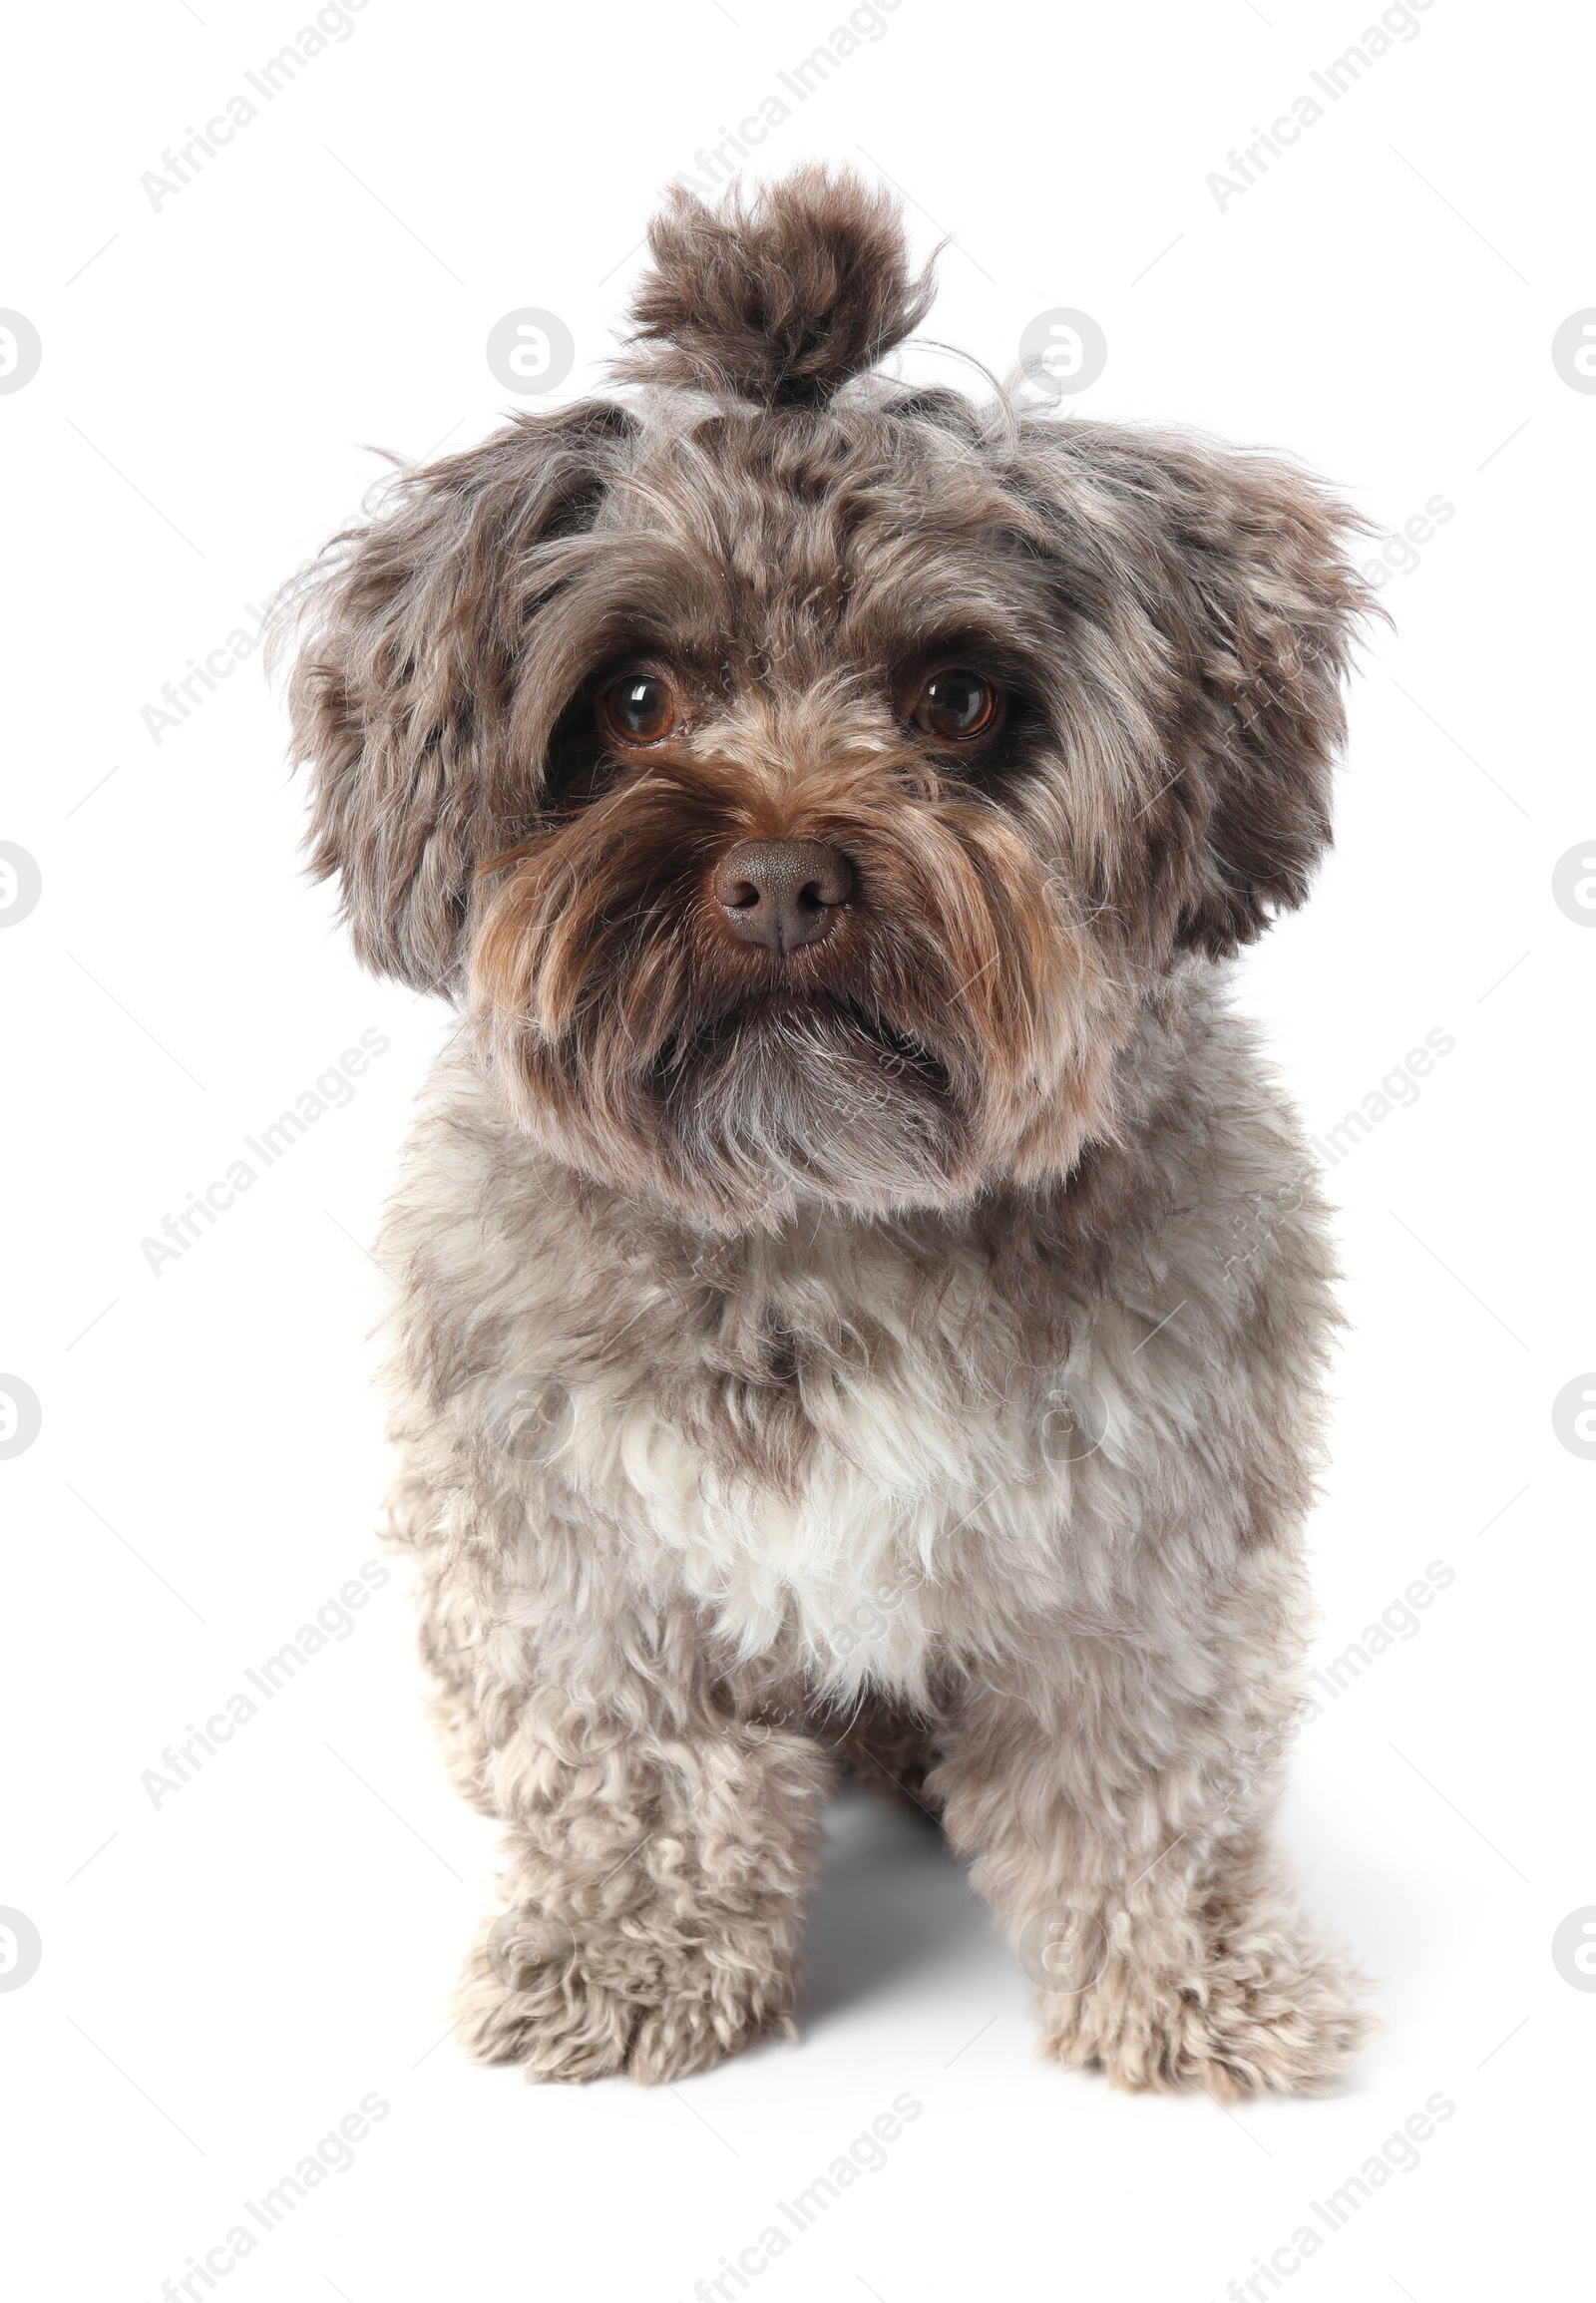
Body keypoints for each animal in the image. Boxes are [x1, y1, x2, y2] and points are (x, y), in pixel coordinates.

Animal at [279, 170, 1373, 2100]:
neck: (827, 1203)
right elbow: (638, 1770)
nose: (781, 876)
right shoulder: (565, 1538)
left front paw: (1188, 1982)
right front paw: (629, 1962)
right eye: (635, 701)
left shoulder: (1151, 1532)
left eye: (954, 699)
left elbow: (1145, 1776)